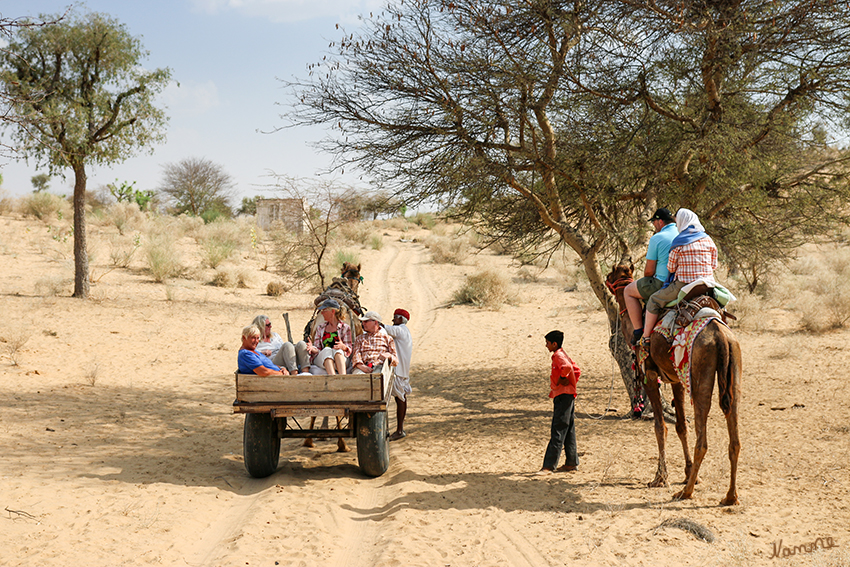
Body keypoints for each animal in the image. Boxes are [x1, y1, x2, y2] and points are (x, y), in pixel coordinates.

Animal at [608, 262, 740, 506]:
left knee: (702, 438)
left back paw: (685, 492)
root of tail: (720, 336)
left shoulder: (650, 376)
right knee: (734, 435)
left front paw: (660, 477)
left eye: (613, 273)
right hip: (734, 368)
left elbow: (661, 426)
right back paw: (730, 496)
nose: (606, 278)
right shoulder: (677, 378)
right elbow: (681, 426)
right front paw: (688, 473)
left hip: (700, 375)